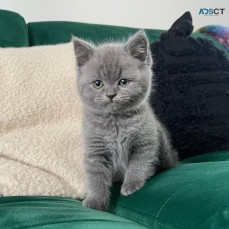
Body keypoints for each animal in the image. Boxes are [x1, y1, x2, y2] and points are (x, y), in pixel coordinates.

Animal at [72, 30, 178, 211]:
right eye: (98, 83)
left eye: (123, 82)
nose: (111, 94)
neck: (115, 122)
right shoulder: (95, 150)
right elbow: (95, 176)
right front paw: (95, 200)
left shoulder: (145, 141)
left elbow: (139, 163)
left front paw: (131, 184)